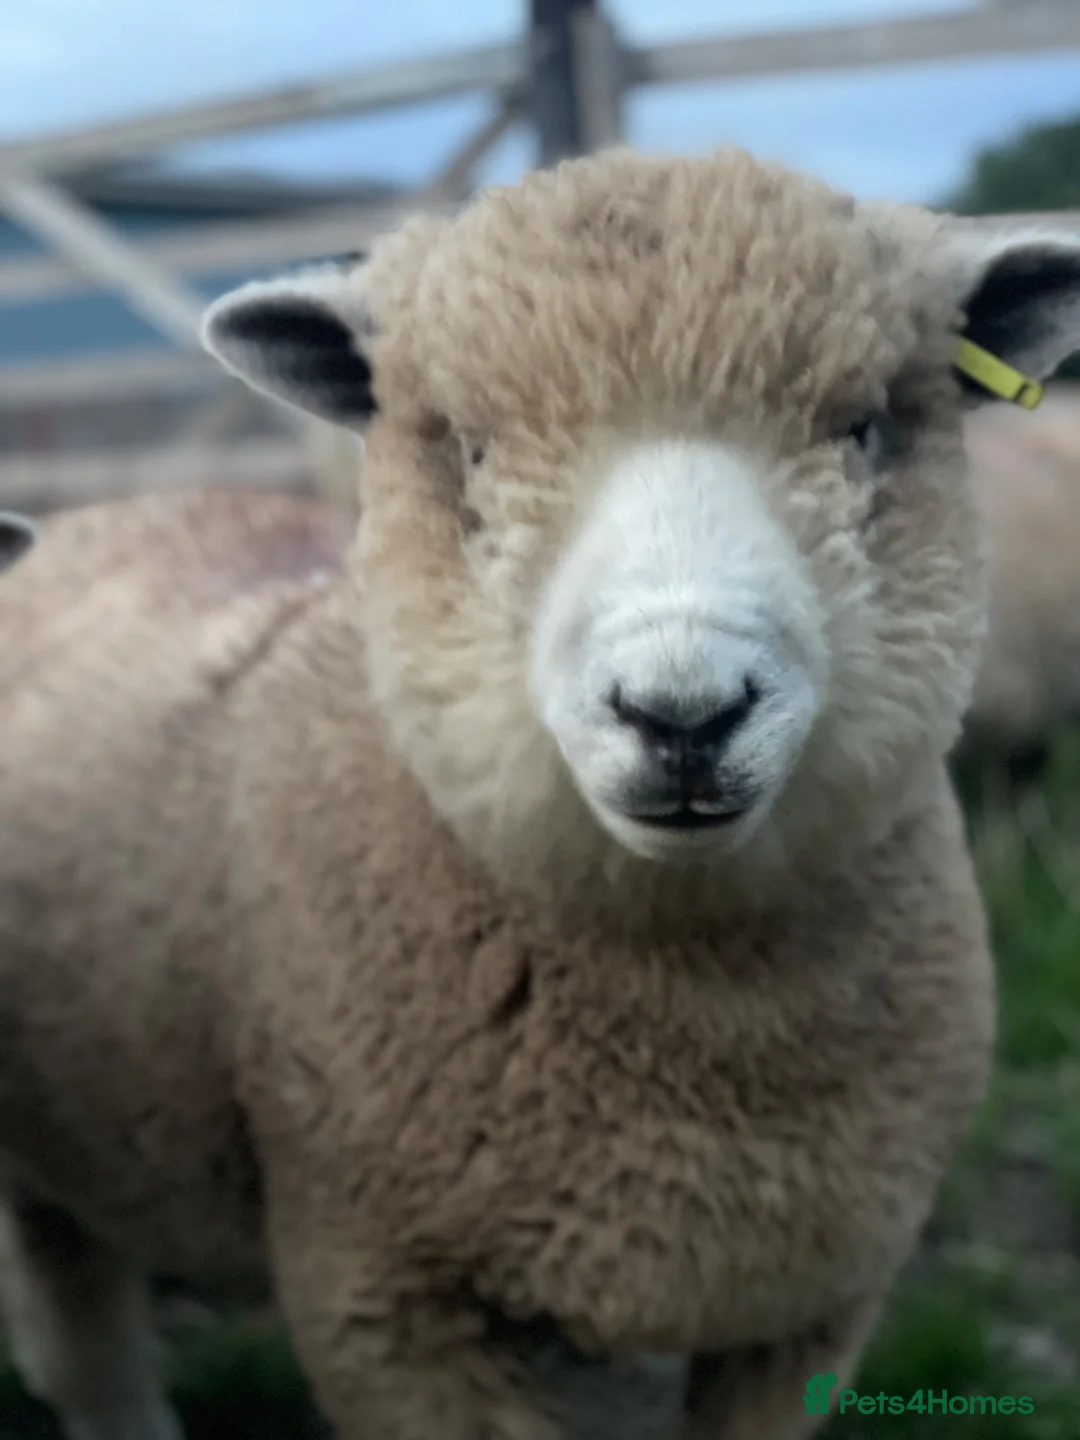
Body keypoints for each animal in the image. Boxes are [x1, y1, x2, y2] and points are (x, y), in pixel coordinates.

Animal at [2, 143, 1080, 1440]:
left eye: (863, 428)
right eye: (472, 449)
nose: (682, 714)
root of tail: (101, 516)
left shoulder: (809, 1301)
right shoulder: (384, 1293)